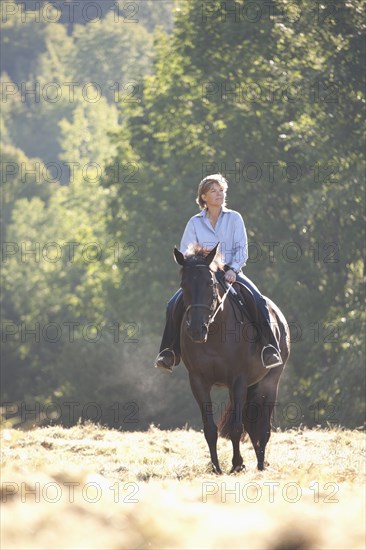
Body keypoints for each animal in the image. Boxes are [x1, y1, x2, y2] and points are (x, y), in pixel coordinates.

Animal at [173, 244, 290, 476]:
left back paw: (261, 465)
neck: (214, 333)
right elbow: (210, 429)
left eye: (210, 283)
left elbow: (236, 428)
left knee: (263, 427)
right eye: (184, 284)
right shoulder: (198, 381)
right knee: (253, 426)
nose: (196, 330)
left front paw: (237, 464)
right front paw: (216, 467)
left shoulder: (239, 380)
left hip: (269, 382)